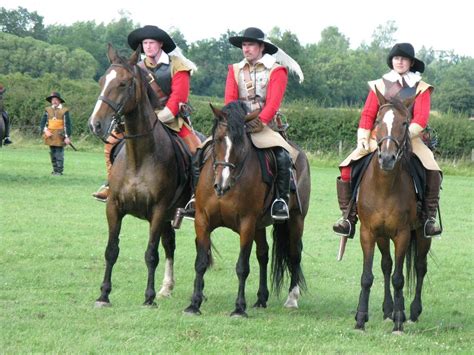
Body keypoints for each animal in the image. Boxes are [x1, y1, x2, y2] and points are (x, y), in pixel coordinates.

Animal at [88, 43, 192, 306]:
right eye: (103, 80)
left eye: (124, 83)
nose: (95, 124)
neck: (139, 158)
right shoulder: (114, 208)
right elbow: (111, 250)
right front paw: (103, 294)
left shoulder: (158, 211)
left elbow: (151, 254)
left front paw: (149, 297)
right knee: (170, 245)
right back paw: (167, 287)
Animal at [184, 101, 312, 318]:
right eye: (217, 140)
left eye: (241, 143)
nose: (221, 185)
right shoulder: (202, 220)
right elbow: (200, 262)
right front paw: (194, 304)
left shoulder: (246, 224)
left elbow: (242, 266)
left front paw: (239, 308)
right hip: (260, 226)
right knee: (263, 255)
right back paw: (261, 299)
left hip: (295, 220)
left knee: (295, 254)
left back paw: (292, 299)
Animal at [358, 88, 432, 334]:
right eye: (377, 121)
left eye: (404, 123)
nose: (387, 158)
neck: (384, 187)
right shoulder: (368, 233)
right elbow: (368, 276)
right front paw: (360, 318)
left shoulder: (402, 235)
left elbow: (399, 278)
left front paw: (399, 320)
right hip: (383, 236)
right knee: (386, 265)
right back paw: (388, 309)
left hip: (422, 235)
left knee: (420, 267)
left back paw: (413, 311)